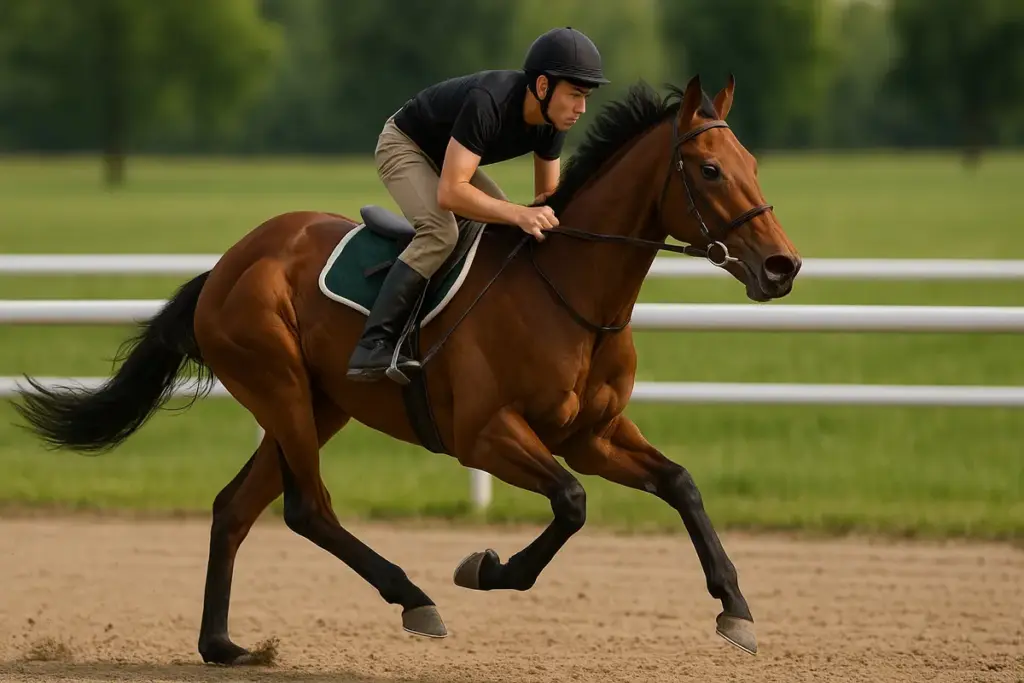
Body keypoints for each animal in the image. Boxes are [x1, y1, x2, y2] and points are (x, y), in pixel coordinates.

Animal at [13, 75, 801, 663]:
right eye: (709, 170)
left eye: (754, 166)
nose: (782, 266)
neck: (571, 292)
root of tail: (227, 264)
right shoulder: (484, 434)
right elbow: (572, 502)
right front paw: (485, 568)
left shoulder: (593, 434)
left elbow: (680, 483)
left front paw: (736, 609)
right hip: (280, 387)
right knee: (308, 508)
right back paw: (415, 598)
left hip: (318, 403)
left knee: (235, 506)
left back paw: (223, 645)